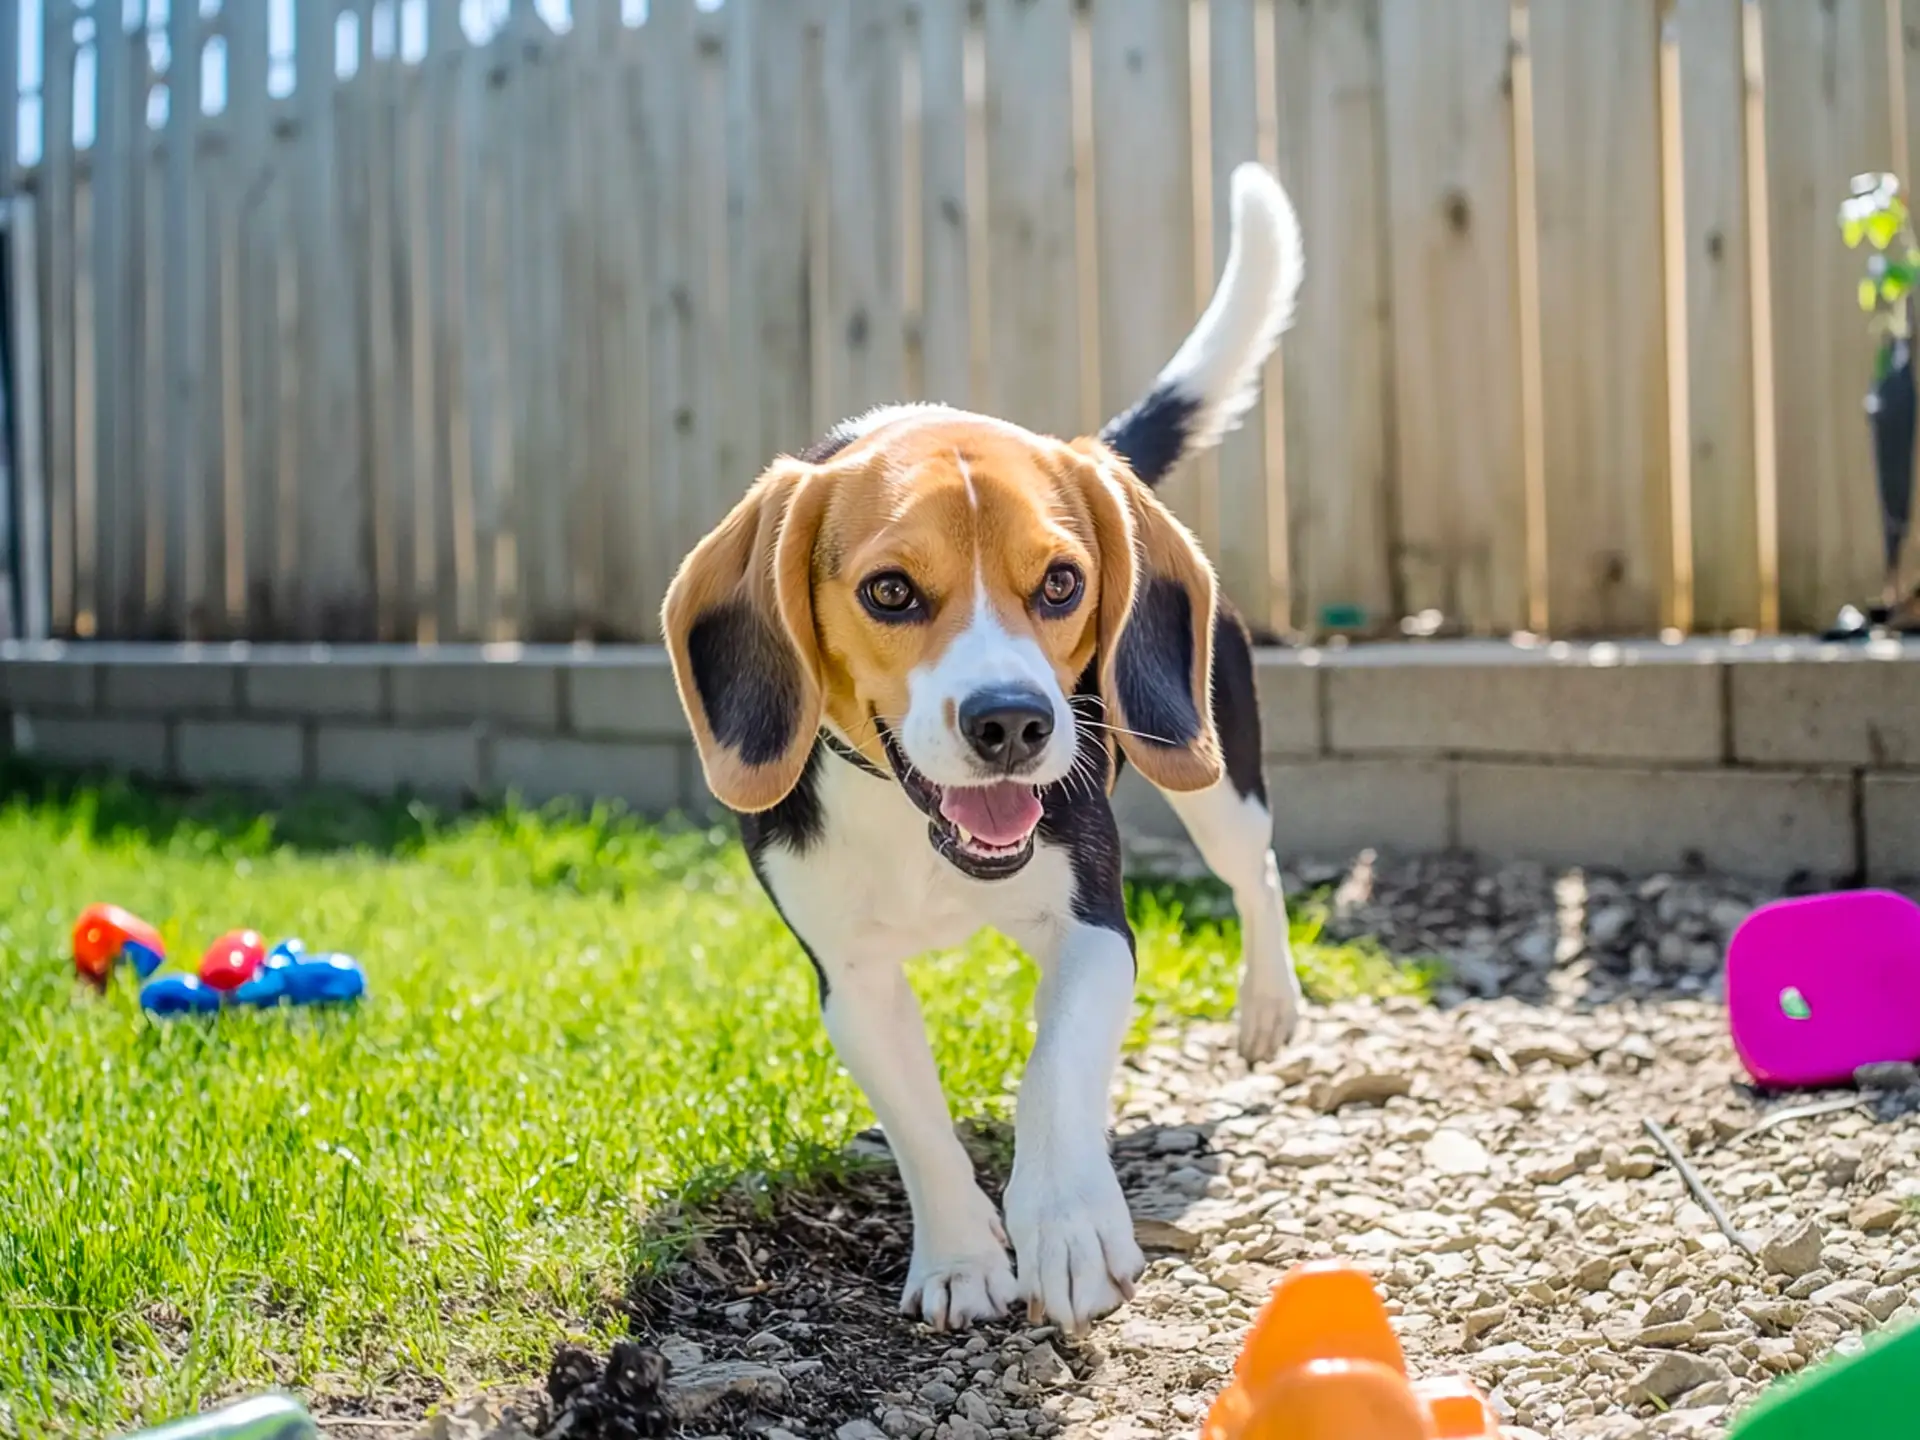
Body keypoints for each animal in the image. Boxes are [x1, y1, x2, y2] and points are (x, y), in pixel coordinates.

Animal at [660, 163, 1305, 1336]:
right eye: (888, 591)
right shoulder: (851, 980)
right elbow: (920, 1130)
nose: (1012, 723)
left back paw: (1268, 1003)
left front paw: (1066, 1225)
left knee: (1257, 872)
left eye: (1060, 582)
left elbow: (1052, 1073)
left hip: (1211, 767)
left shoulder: (1094, 925)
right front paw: (963, 1257)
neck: (912, 825)